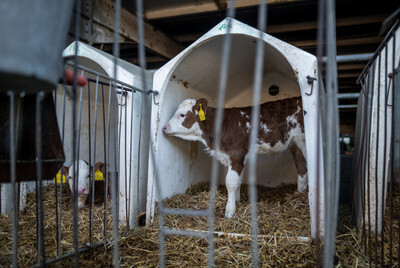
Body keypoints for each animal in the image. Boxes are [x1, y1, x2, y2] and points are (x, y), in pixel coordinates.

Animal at [162, 97, 306, 219]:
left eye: (182, 115)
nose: (164, 127)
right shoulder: (232, 157)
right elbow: (238, 181)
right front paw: (237, 201)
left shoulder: (236, 155)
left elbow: (231, 182)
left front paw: (230, 211)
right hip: (294, 144)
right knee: (301, 166)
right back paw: (300, 194)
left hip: (302, 141)